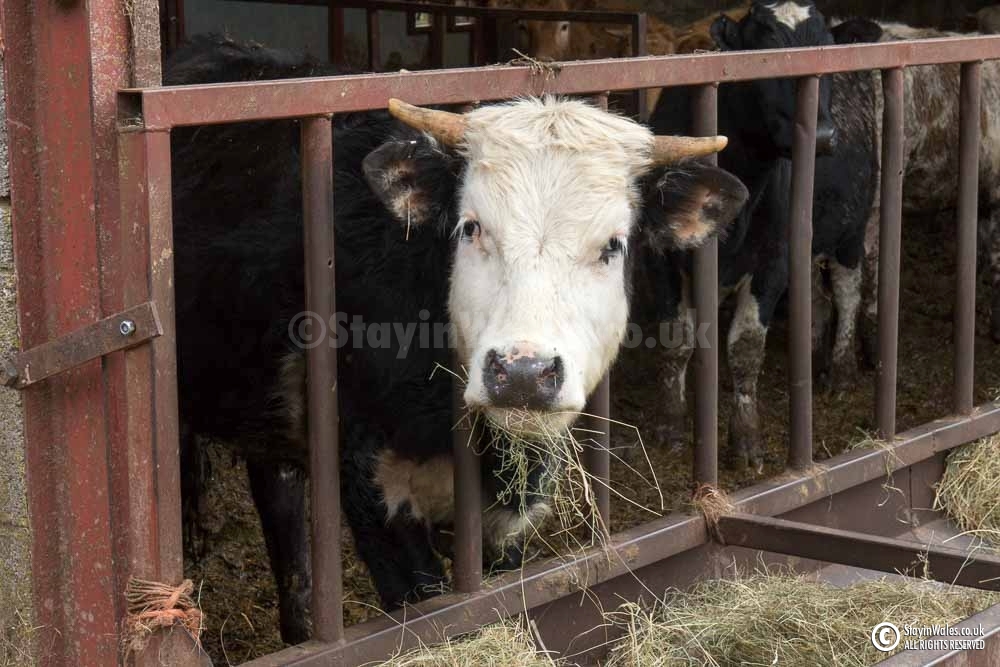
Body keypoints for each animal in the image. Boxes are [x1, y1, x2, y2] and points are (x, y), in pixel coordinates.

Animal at [648, 1, 879, 471]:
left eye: (826, 52)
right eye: (764, 54)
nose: (822, 136)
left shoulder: (773, 259)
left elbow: (746, 346)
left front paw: (745, 439)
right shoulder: (662, 255)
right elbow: (676, 338)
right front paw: (670, 425)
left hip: (852, 228)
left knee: (848, 292)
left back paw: (842, 370)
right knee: (816, 298)